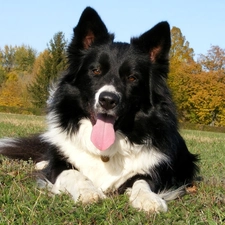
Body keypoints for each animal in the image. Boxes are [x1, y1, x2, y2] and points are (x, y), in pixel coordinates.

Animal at [0, 7, 198, 213]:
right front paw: (88, 192)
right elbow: (72, 172)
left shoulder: (156, 171)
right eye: (95, 70)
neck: (105, 152)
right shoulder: (59, 167)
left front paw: (148, 198)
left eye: (132, 77)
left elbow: (142, 181)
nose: (108, 100)